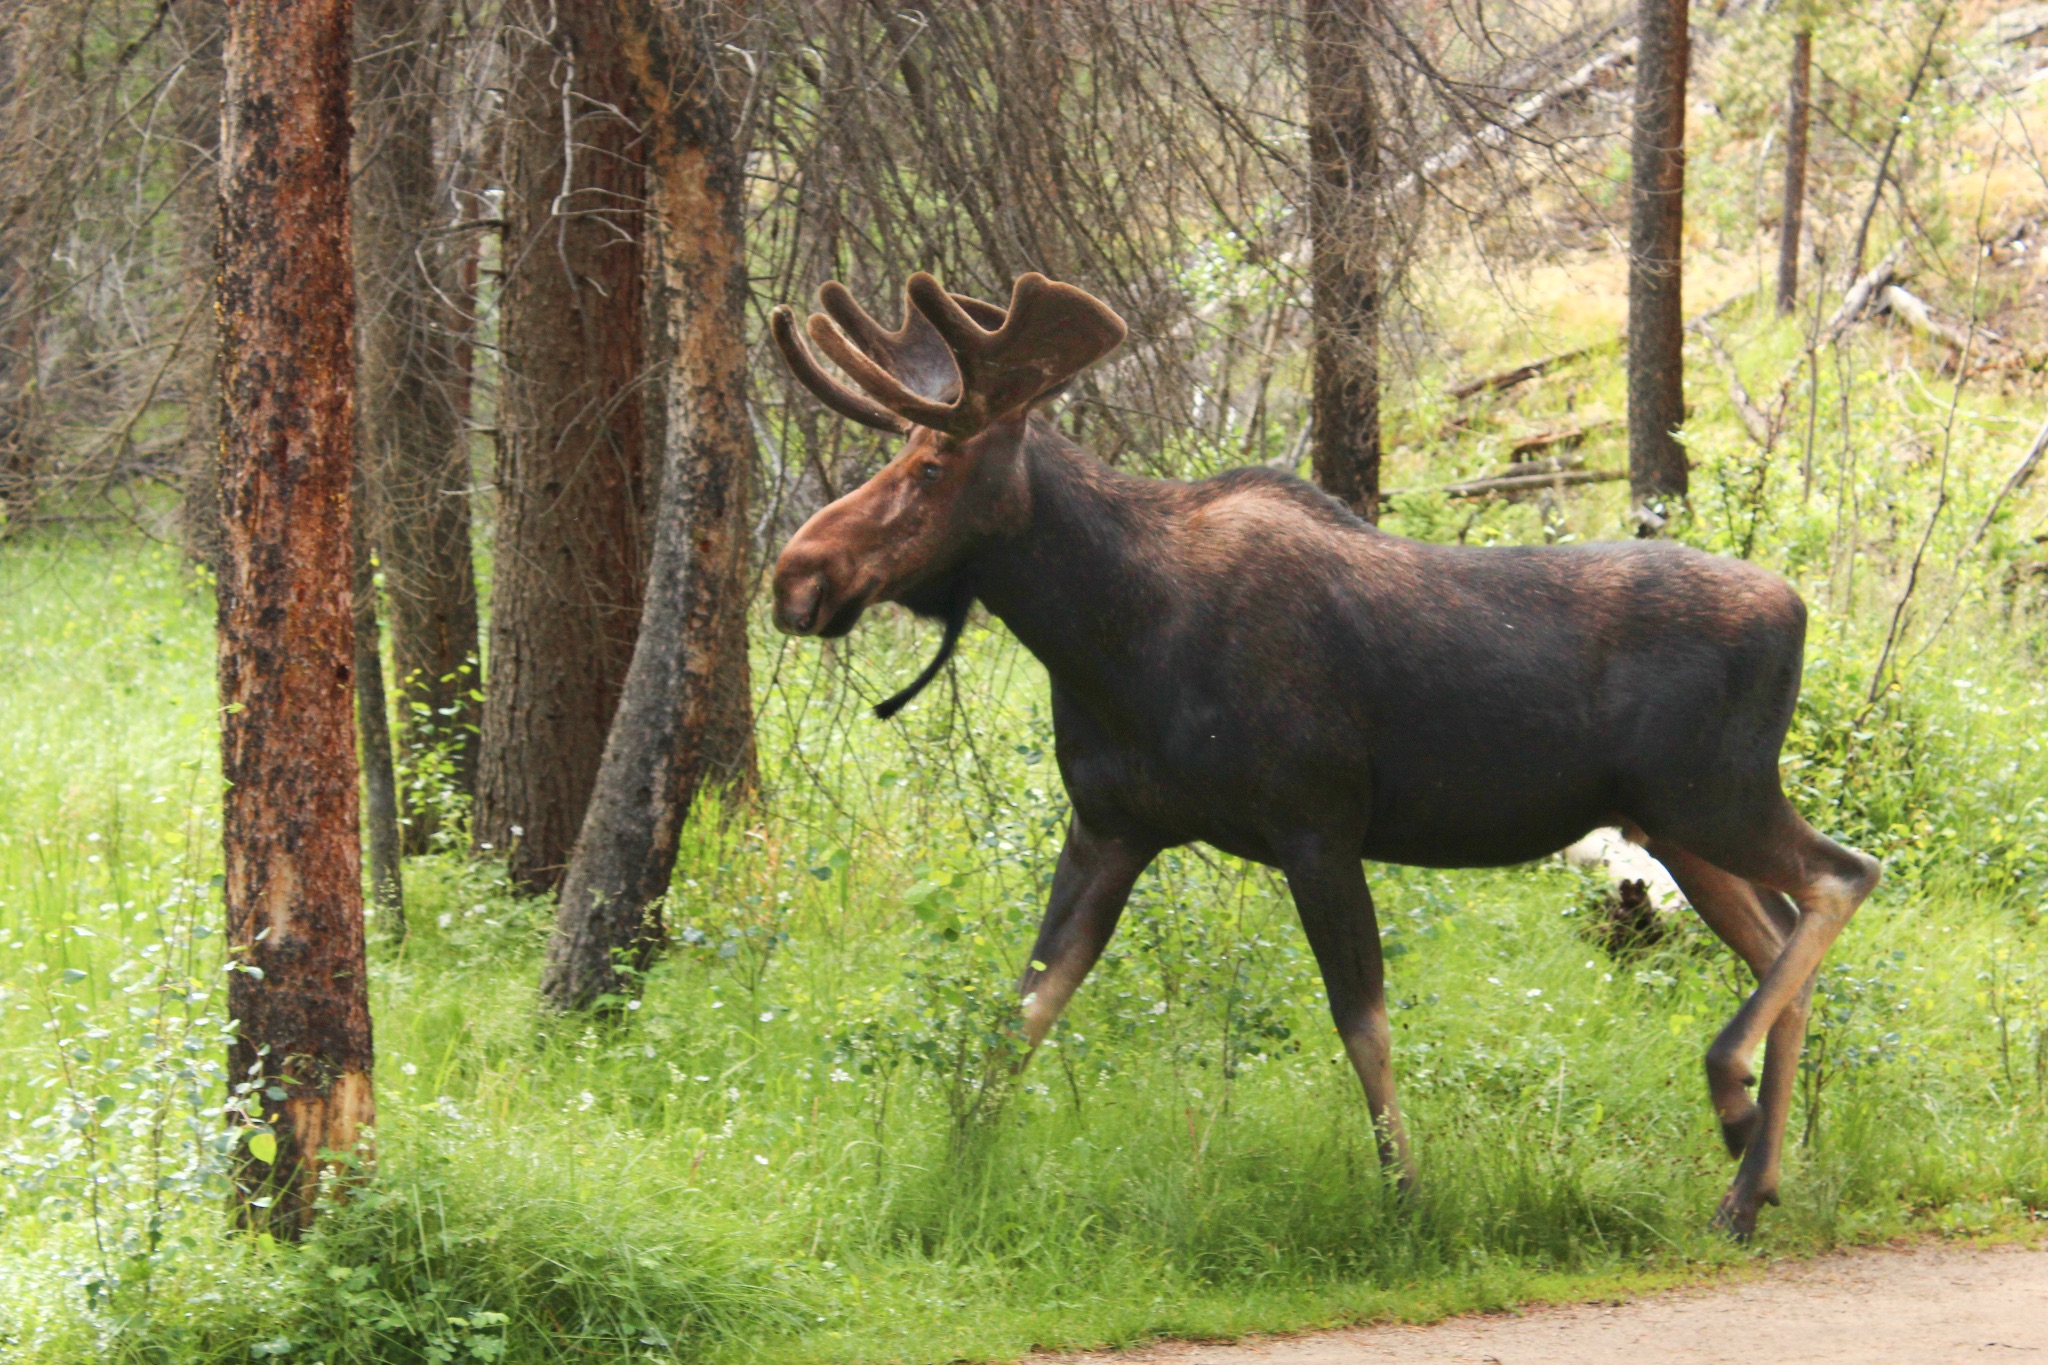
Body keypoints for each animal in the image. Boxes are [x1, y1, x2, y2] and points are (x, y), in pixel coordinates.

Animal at [768, 272, 1880, 1239]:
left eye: (930, 468)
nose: (795, 574)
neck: (1111, 638)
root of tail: (1797, 610)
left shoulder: (1316, 823)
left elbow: (1364, 1025)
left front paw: (1409, 1200)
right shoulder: (1109, 827)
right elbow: (1024, 1007)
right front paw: (956, 1169)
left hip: (1713, 794)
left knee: (1841, 876)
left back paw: (1733, 1107)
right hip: (1676, 824)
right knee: (1780, 936)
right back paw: (1750, 1185)